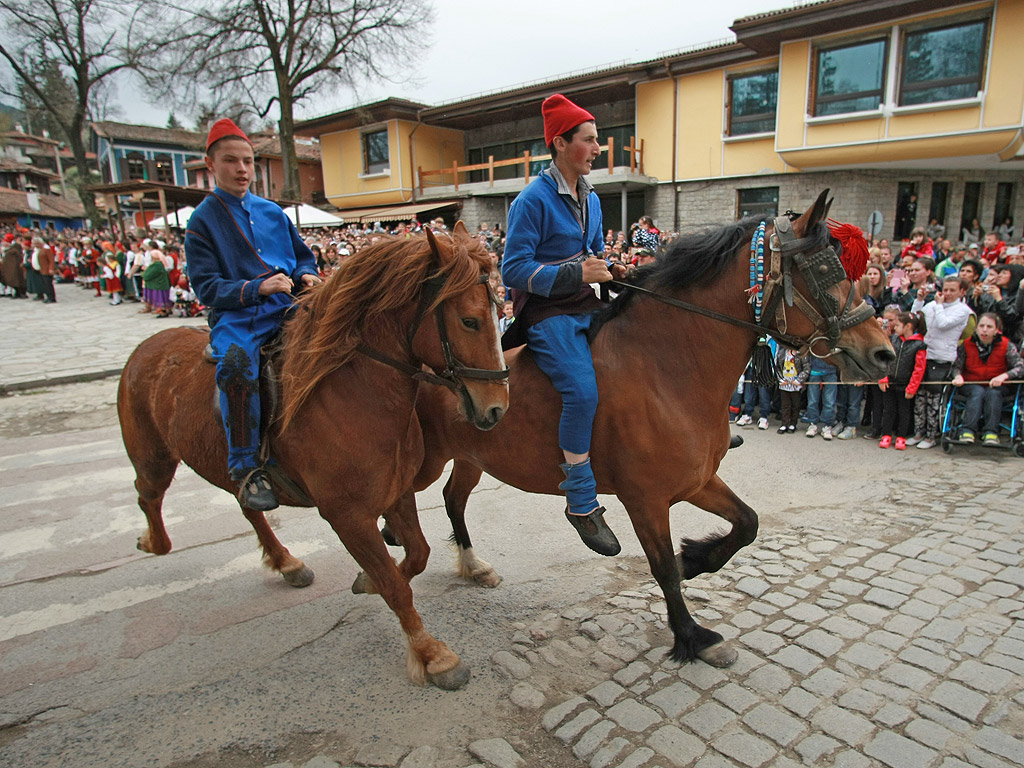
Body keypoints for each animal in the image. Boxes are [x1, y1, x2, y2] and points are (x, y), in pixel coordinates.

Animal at [116, 224, 507, 692]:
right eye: (470, 320)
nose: (497, 409)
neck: (355, 396)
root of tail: (146, 347)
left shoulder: (396, 495)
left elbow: (415, 555)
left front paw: (368, 581)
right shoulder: (347, 515)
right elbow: (396, 585)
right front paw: (433, 656)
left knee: (247, 508)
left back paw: (286, 561)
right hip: (154, 457)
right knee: (147, 495)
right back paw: (153, 541)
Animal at [376, 189, 897, 671]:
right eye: (824, 272)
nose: (885, 353)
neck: (666, 367)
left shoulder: (696, 480)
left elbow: (747, 523)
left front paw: (698, 559)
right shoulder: (645, 498)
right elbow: (662, 567)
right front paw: (692, 635)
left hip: (472, 456)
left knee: (452, 499)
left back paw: (467, 563)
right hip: (428, 460)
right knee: (404, 496)